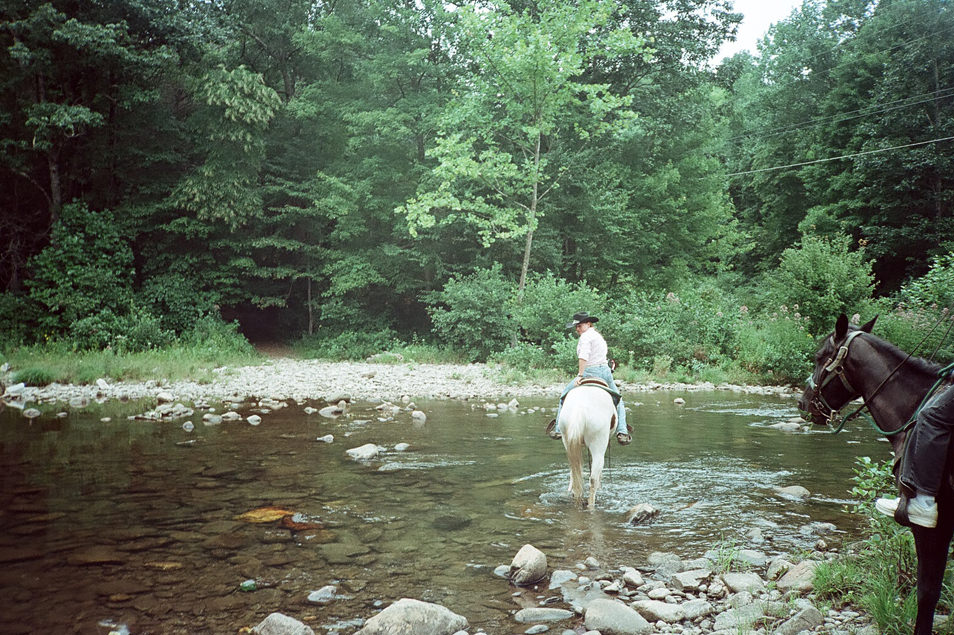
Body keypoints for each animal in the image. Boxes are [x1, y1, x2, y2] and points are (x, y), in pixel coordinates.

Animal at [556, 382, 616, 512]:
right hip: (598, 446)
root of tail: (580, 408)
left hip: (567, 442)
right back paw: (591, 505)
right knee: (593, 479)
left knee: (575, 472)